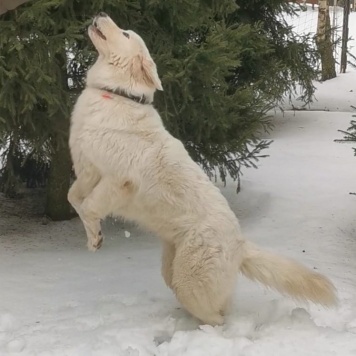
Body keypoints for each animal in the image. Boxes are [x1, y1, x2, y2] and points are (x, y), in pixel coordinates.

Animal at [68, 13, 338, 326]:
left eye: (124, 34)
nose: (100, 14)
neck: (117, 95)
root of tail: (240, 243)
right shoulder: (87, 171)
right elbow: (73, 199)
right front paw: (92, 238)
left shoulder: (118, 181)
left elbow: (90, 206)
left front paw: (97, 237)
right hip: (172, 270)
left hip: (189, 281)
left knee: (218, 317)